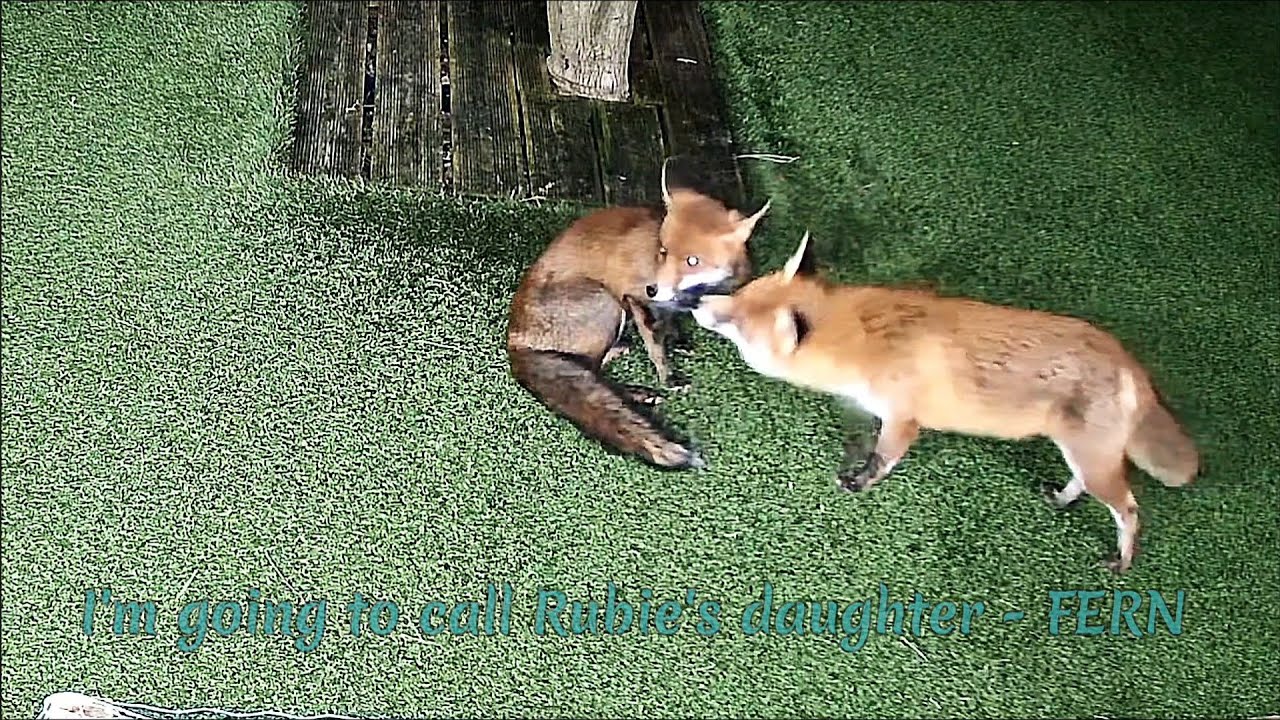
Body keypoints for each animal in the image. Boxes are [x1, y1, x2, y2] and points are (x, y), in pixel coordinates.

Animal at [505, 162, 771, 469]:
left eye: (692, 261)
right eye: (662, 251)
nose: (652, 288)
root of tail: (515, 340)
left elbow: (670, 322)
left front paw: (679, 339)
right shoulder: (634, 298)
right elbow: (657, 348)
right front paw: (669, 378)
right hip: (609, 305)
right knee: (592, 369)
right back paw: (638, 393)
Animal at [690, 230, 1199, 572]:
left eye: (735, 322)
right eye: (737, 294)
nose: (694, 304)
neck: (865, 340)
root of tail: (1129, 363)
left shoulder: (903, 419)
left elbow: (882, 460)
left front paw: (859, 483)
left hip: (1095, 463)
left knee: (1129, 510)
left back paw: (1122, 560)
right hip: (1083, 457)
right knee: (1088, 488)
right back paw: (1061, 499)